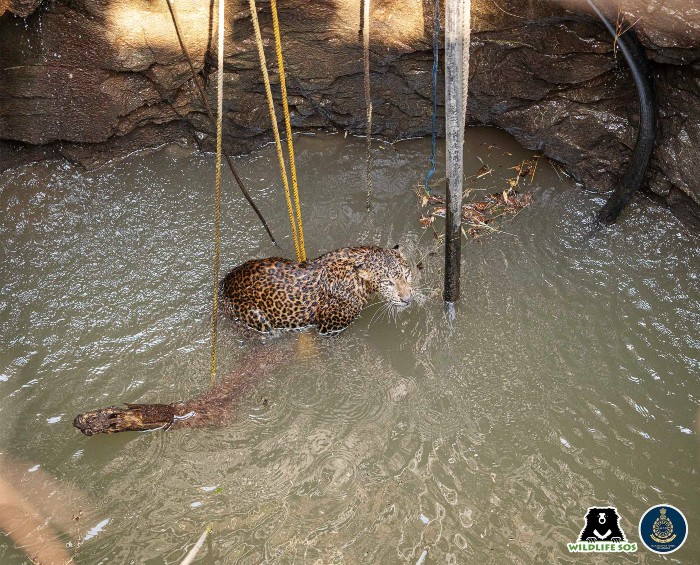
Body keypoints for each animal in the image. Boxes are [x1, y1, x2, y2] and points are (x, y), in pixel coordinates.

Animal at [219, 243, 412, 332]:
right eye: (387, 282)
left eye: (407, 274)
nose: (408, 300)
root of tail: (224, 283)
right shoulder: (328, 327)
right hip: (256, 316)